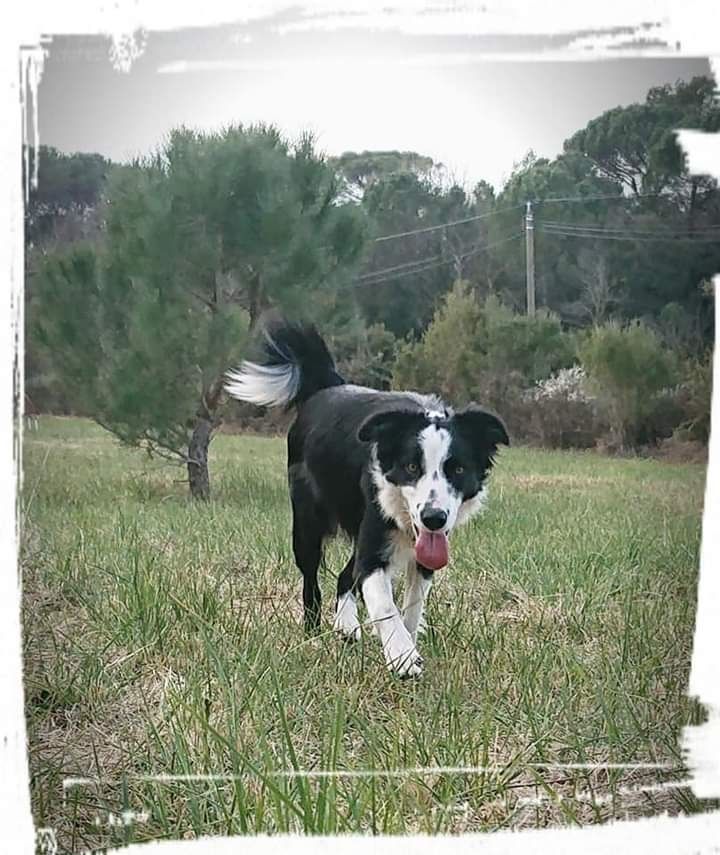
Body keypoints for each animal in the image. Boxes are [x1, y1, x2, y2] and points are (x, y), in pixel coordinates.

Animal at [225, 318, 506, 680]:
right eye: (411, 467)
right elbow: (384, 601)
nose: (433, 518)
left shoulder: (423, 550)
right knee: (312, 579)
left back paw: (346, 627)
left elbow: (412, 605)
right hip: (307, 523)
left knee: (346, 574)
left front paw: (407, 644)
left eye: (457, 469)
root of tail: (328, 386)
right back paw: (313, 633)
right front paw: (402, 657)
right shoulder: (376, 542)